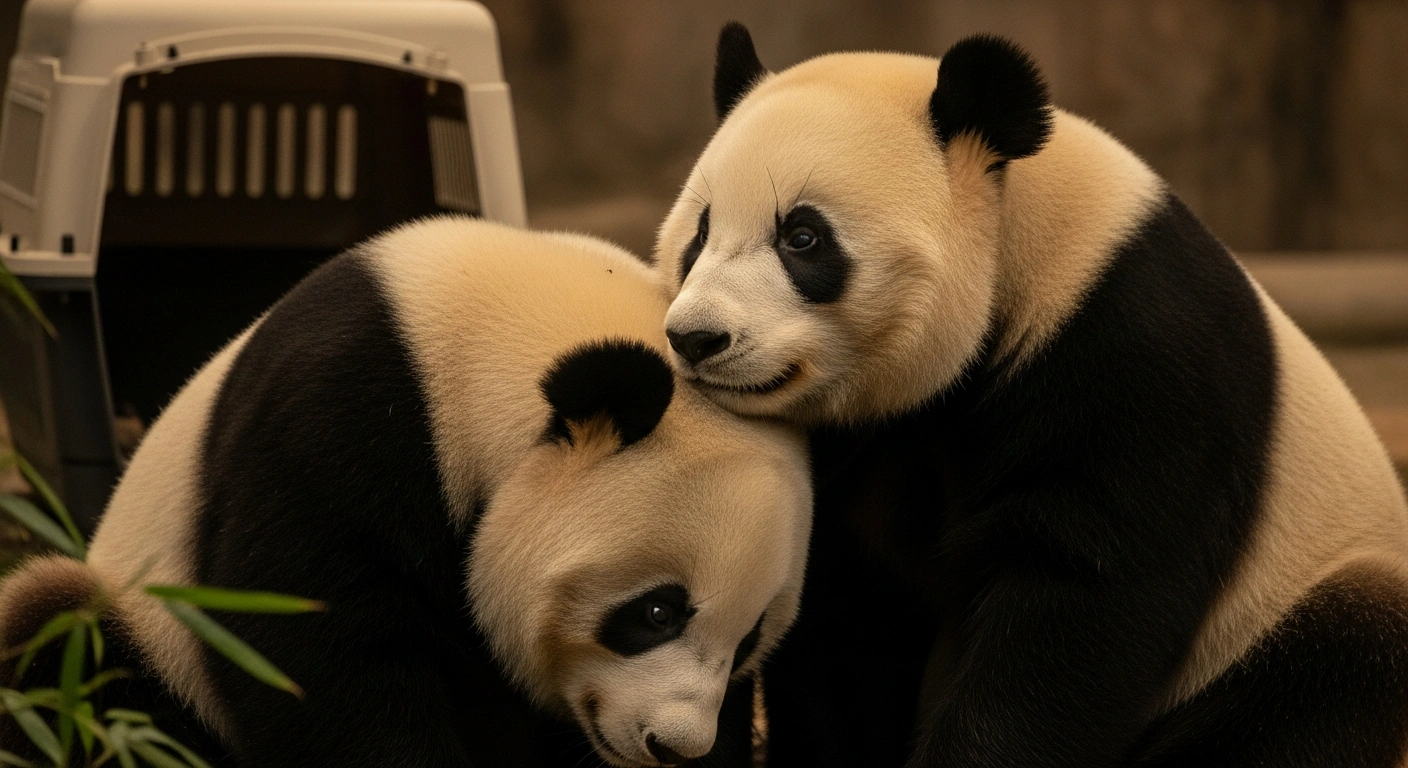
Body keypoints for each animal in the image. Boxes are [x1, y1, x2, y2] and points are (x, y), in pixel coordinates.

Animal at [0, 218, 813, 768]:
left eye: (749, 641)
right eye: (655, 612)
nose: (674, 746)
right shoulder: (341, 424)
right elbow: (320, 647)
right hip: (147, 634)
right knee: (67, 651)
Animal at [655, 23, 1408, 768]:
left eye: (803, 237)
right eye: (699, 233)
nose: (695, 338)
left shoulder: (1135, 358)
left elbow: (1081, 597)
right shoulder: (869, 451)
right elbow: (847, 624)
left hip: (1300, 596)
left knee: (1328, 680)